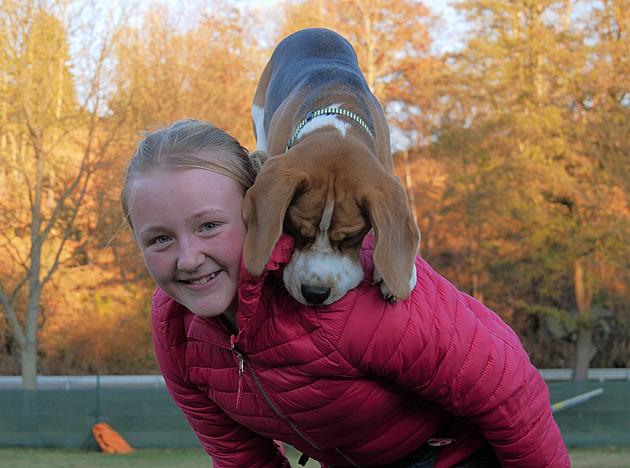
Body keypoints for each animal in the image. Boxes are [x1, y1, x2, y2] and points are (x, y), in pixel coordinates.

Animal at [242, 29, 420, 308]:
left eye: (350, 237)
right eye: (294, 228)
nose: (315, 293)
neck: (338, 119)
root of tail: (313, 30)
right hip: (259, 116)